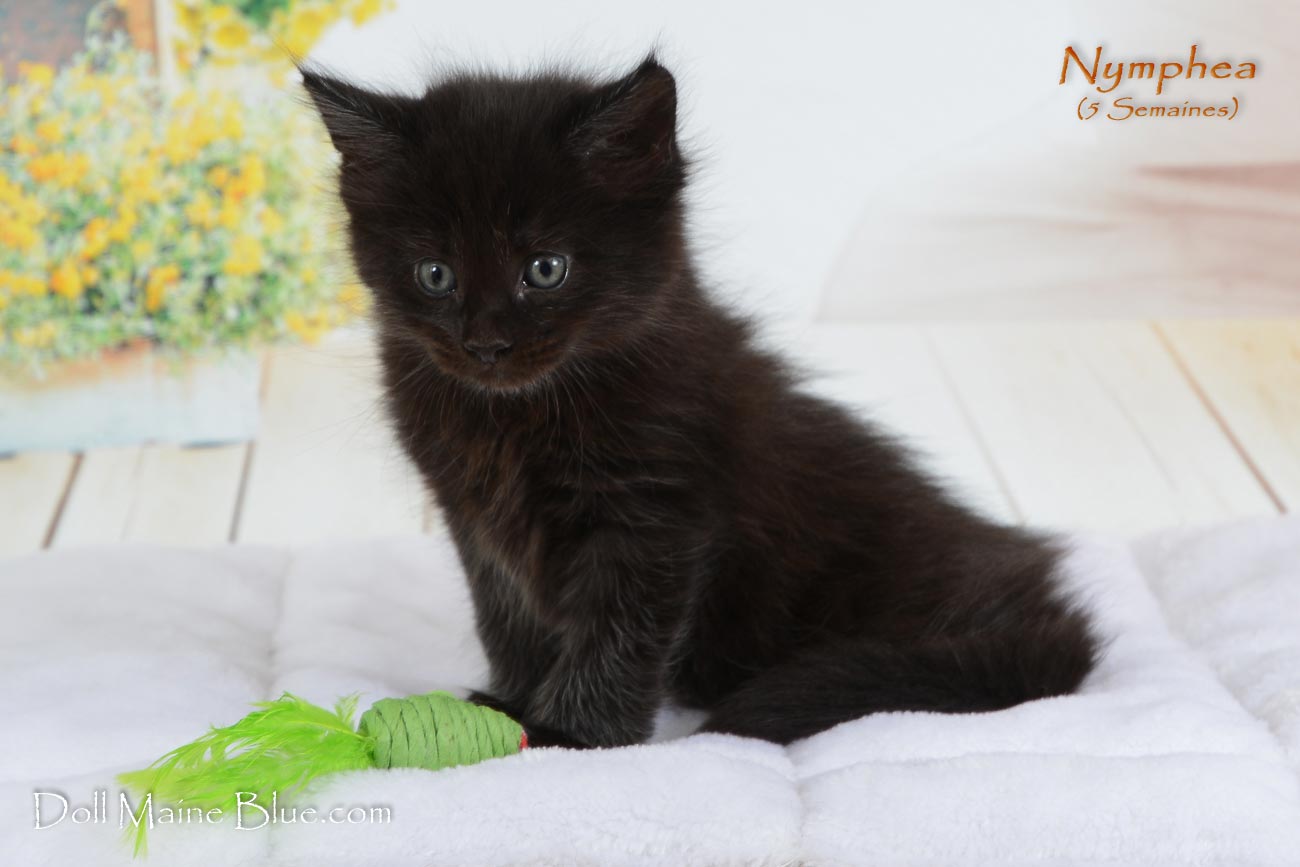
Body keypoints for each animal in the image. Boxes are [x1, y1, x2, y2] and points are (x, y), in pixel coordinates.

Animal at [301, 56, 1099, 748]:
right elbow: (508, 619)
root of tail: (1046, 611)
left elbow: (617, 632)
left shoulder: (655, 513)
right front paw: (511, 702)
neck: (514, 417)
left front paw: (569, 735)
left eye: (546, 269)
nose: (485, 344)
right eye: (434, 274)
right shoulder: (476, 521)